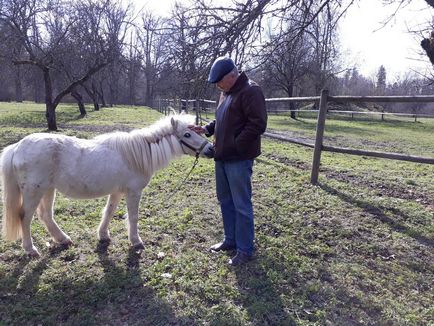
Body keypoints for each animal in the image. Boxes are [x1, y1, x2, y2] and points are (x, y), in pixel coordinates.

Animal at [0, 113, 214, 256]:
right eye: (187, 135)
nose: (211, 149)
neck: (136, 156)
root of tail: (17, 147)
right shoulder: (133, 192)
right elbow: (133, 217)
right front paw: (136, 241)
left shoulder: (118, 192)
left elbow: (109, 212)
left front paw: (103, 235)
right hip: (34, 192)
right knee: (25, 217)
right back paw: (30, 249)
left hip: (48, 190)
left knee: (46, 216)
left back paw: (63, 240)